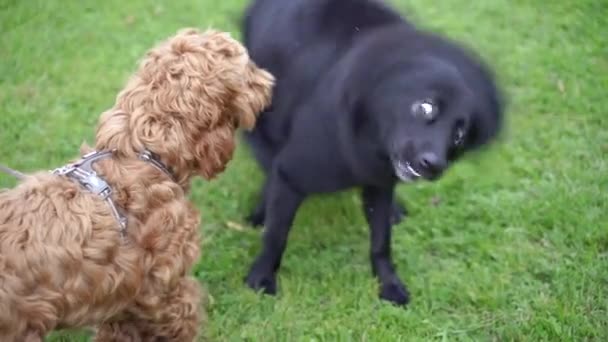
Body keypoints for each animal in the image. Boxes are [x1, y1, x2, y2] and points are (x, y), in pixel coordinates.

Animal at [241, 0, 504, 306]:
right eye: (426, 107)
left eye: (459, 135)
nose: (434, 165)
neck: (367, 140)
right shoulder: (291, 172)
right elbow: (276, 236)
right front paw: (261, 277)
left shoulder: (379, 183)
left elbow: (381, 242)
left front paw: (388, 283)